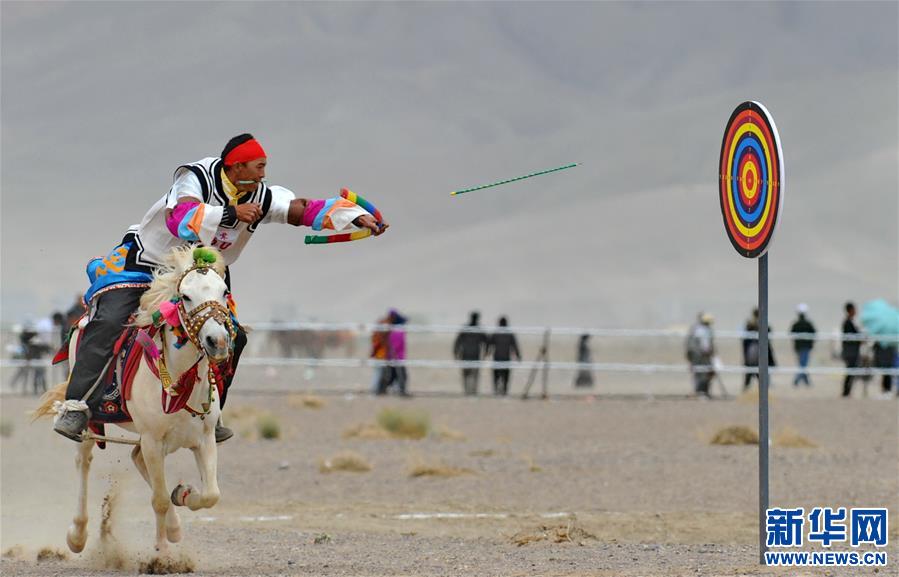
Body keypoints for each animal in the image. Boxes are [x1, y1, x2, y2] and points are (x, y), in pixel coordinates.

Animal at [37, 246, 237, 552]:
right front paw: (161, 555)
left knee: (137, 458)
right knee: (84, 461)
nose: (218, 341)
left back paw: (175, 526)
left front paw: (183, 493)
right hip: (90, 422)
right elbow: (160, 500)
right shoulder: (153, 440)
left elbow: (210, 494)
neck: (179, 380)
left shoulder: (204, 438)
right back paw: (77, 535)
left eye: (224, 291)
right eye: (186, 296)